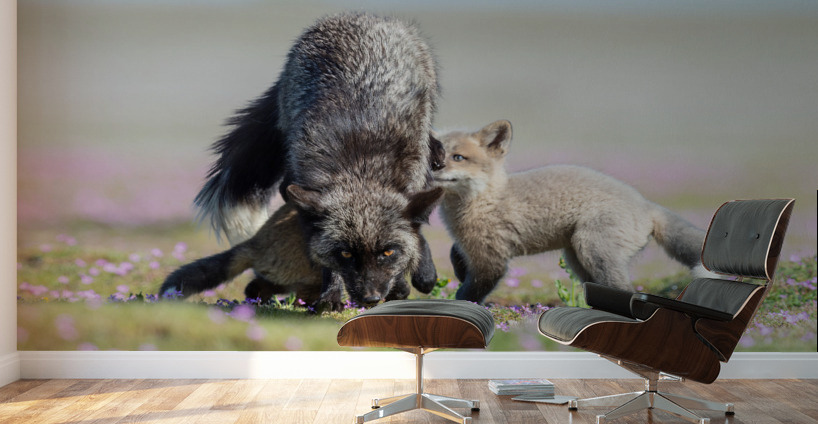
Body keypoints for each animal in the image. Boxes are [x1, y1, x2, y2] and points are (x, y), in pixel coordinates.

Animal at [189, 13, 444, 310]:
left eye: (387, 252)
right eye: (345, 254)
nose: (370, 299)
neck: (360, 169)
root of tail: (356, 16)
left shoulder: (414, 180)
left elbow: (416, 232)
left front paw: (413, 277)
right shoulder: (303, 194)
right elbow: (320, 253)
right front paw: (331, 294)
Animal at [433, 120, 713, 304]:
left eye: (457, 157)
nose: (434, 167)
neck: (487, 200)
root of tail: (646, 204)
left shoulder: (492, 260)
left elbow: (470, 292)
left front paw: (458, 304)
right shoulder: (475, 249)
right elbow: (455, 254)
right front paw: (459, 269)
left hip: (591, 248)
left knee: (626, 290)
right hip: (577, 258)